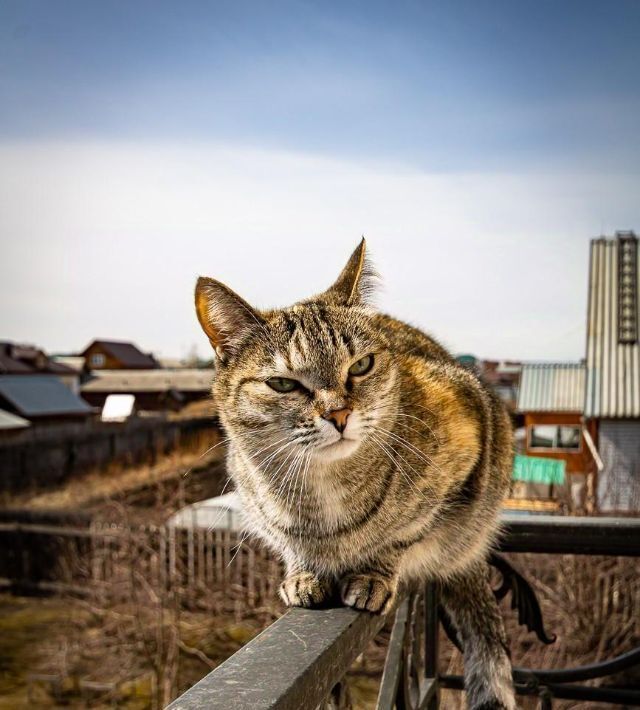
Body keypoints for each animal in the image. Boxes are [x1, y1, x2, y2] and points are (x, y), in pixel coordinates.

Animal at [194, 242, 516, 708]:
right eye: (283, 384)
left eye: (361, 365)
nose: (339, 414)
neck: (326, 487)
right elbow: (290, 543)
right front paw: (302, 573)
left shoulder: (466, 449)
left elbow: (404, 534)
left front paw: (374, 572)